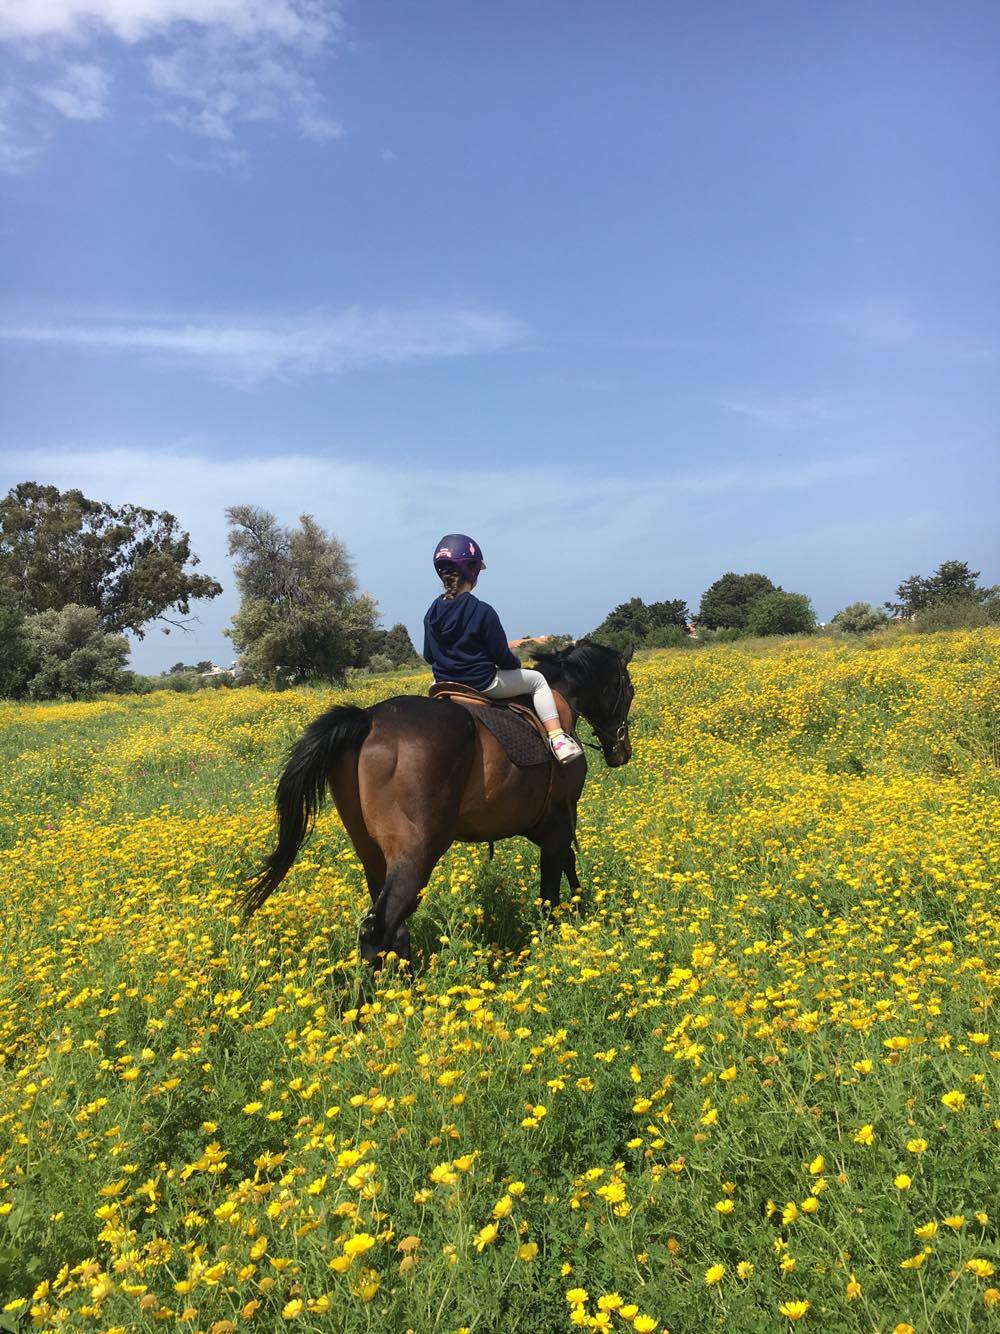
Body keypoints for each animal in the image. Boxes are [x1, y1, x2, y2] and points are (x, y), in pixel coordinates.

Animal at [238, 640, 635, 967]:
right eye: (628, 689)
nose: (621, 751)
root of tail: (366, 720)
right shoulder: (558, 820)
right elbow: (552, 888)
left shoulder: (543, 824)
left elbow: (565, 866)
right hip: (417, 852)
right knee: (377, 931)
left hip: (371, 853)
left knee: (391, 928)